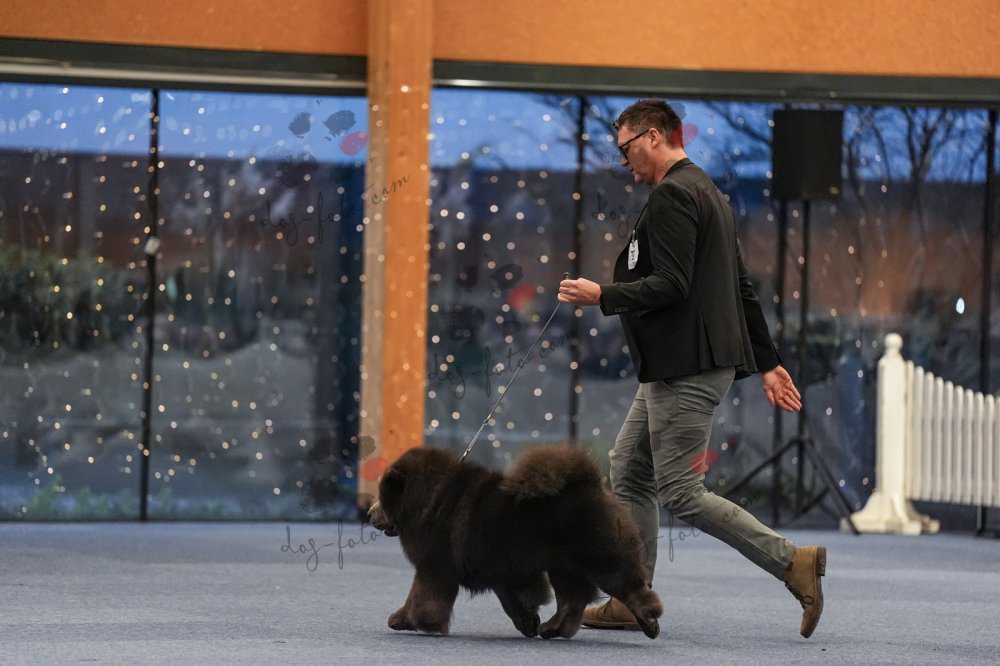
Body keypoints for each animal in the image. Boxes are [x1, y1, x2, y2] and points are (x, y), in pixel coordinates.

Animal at [368, 445, 662, 639]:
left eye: (382, 498)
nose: (370, 513)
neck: (428, 499)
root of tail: (591, 485)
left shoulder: (434, 568)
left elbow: (421, 599)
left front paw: (406, 620)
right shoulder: (507, 573)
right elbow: (514, 602)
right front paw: (528, 623)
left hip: (601, 559)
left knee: (631, 587)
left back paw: (649, 622)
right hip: (563, 567)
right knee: (571, 601)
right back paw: (551, 629)